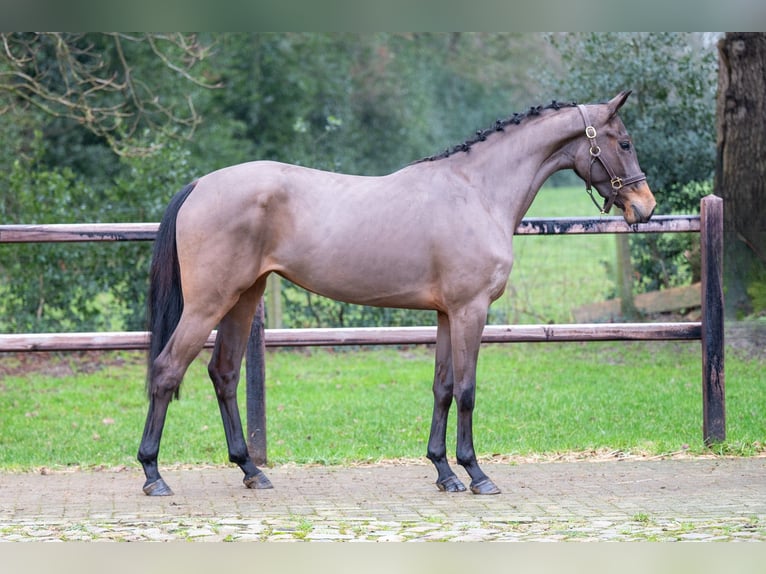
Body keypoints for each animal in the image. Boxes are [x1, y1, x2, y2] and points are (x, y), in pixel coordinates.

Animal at [136, 92, 656, 498]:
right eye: (625, 142)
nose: (646, 208)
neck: (477, 191)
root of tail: (200, 184)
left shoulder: (446, 314)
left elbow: (442, 388)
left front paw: (444, 472)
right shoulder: (470, 311)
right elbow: (467, 390)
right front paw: (476, 473)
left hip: (244, 297)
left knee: (223, 374)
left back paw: (250, 470)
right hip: (209, 303)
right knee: (166, 371)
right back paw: (153, 474)